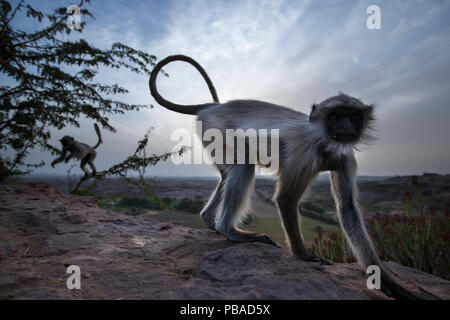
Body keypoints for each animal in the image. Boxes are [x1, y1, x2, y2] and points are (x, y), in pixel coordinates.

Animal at [150, 54, 432, 300]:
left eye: (353, 116)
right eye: (335, 116)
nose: (345, 127)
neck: (323, 139)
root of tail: (214, 107)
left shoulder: (344, 157)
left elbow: (348, 210)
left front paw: (388, 283)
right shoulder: (304, 153)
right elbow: (285, 199)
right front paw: (304, 256)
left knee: (228, 173)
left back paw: (210, 220)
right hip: (216, 130)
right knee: (242, 167)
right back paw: (228, 230)